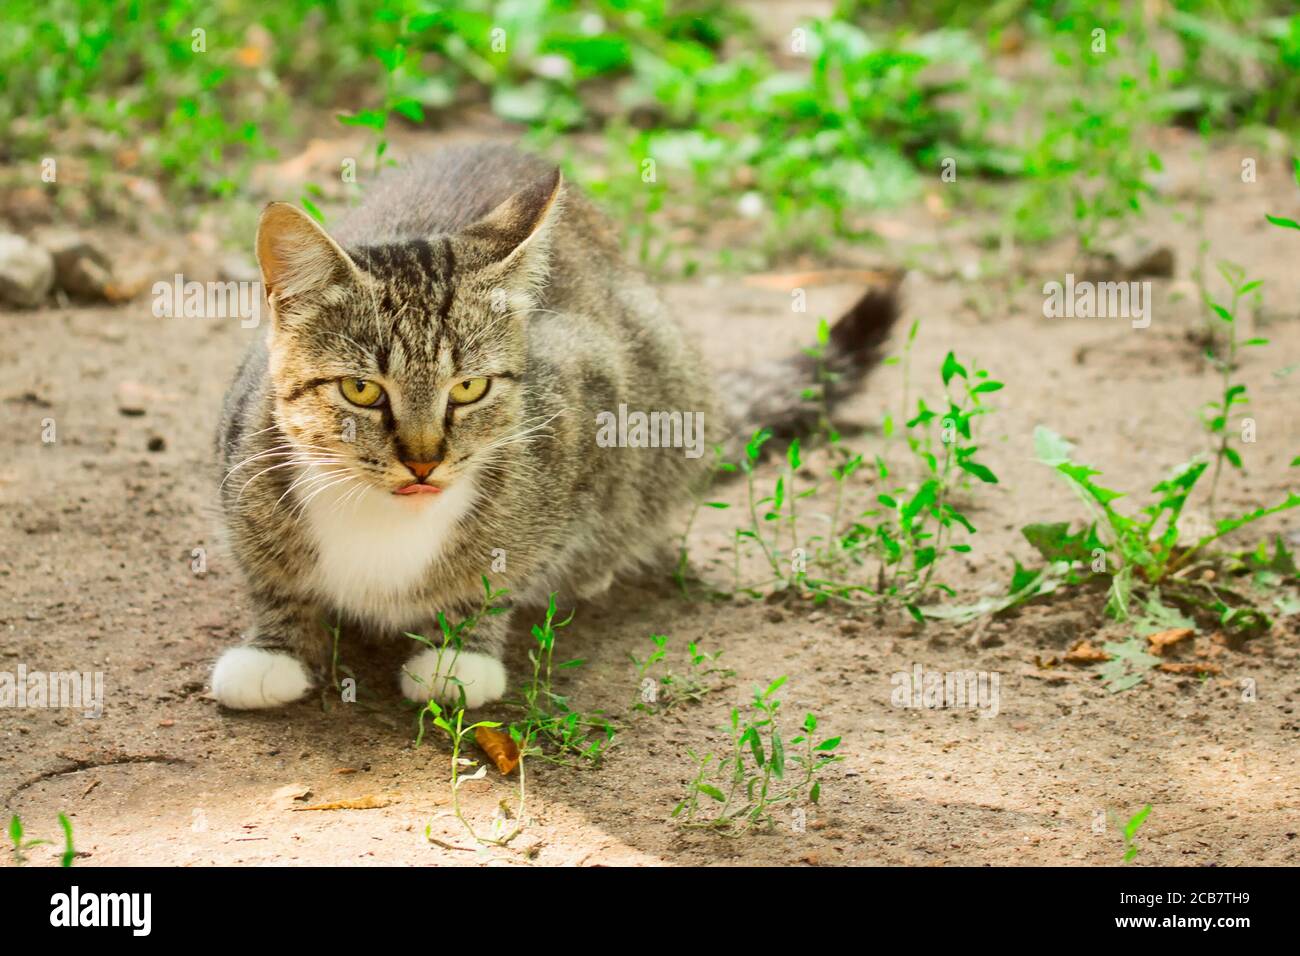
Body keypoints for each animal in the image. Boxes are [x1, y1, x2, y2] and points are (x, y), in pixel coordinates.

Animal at [213, 143, 899, 712]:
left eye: (470, 388)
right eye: (361, 391)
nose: (424, 460)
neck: (383, 516)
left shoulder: (590, 407)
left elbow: (511, 566)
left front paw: (462, 648)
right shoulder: (239, 454)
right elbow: (266, 571)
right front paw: (274, 648)